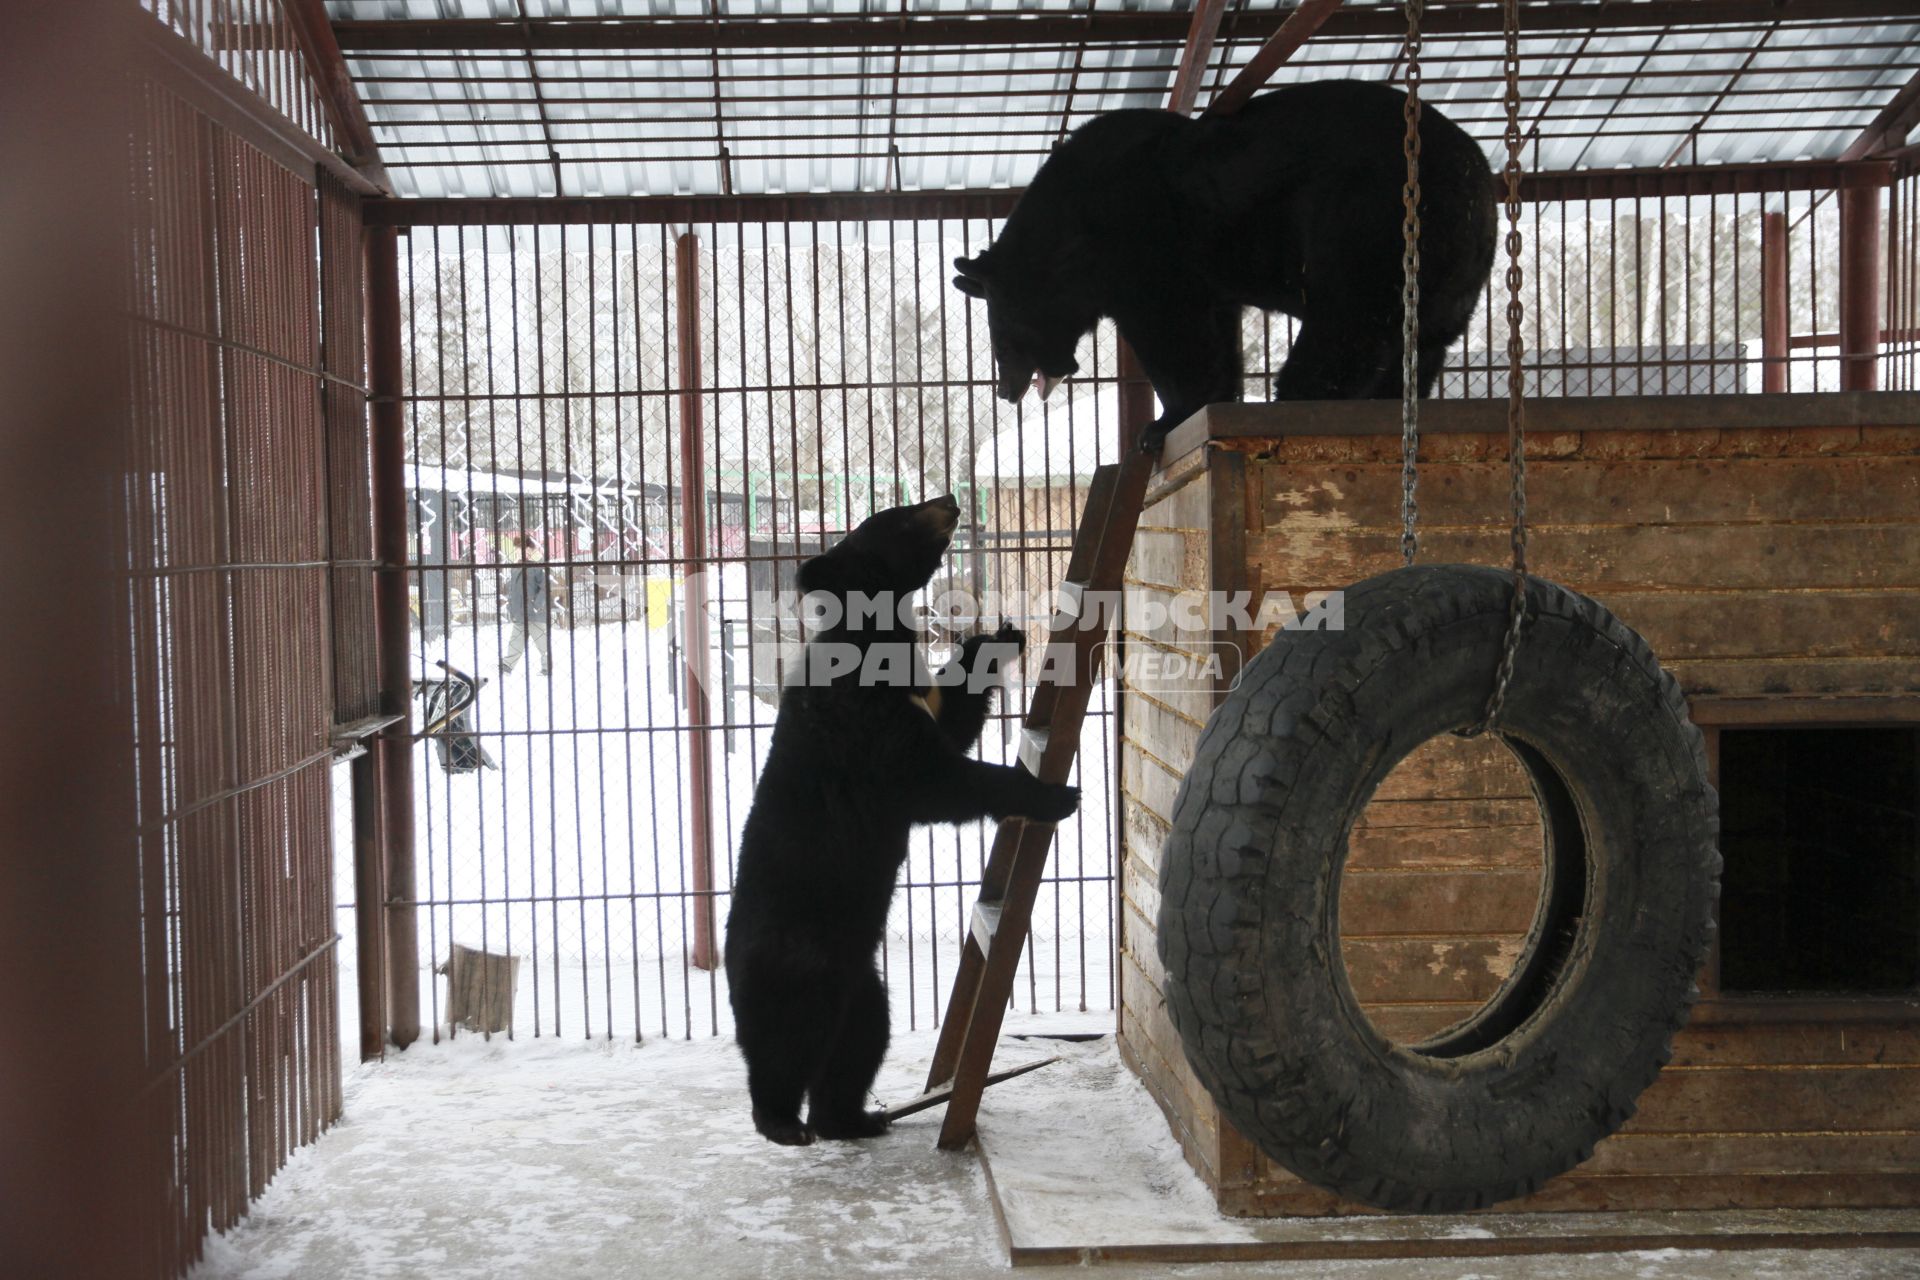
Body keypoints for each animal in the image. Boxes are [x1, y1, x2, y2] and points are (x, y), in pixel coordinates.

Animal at [721, 495, 1082, 1143]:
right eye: (898, 517)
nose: (950, 501)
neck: (878, 640)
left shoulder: (917, 698)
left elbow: (954, 717)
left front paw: (1001, 637)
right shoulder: (865, 722)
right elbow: (933, 780)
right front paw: (1057, 796)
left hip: (863, 986)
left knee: (860, 1041)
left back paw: (857, 1118)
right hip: (800, 966)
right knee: (787, 1045)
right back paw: (784, 1122)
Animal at [952, 80, 1489, 449]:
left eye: (1001, 337)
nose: (1005, 390)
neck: (1070, 239)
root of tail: (1476, 178)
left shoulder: (1143, 246)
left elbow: (1173, 334)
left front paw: (1163, 422)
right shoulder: (1208, 281)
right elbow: (1217, 333)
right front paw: (1213, 400)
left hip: (1368, 222)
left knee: (1346, 322)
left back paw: (1295, 397)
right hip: (1444, 276)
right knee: (1417, 346)